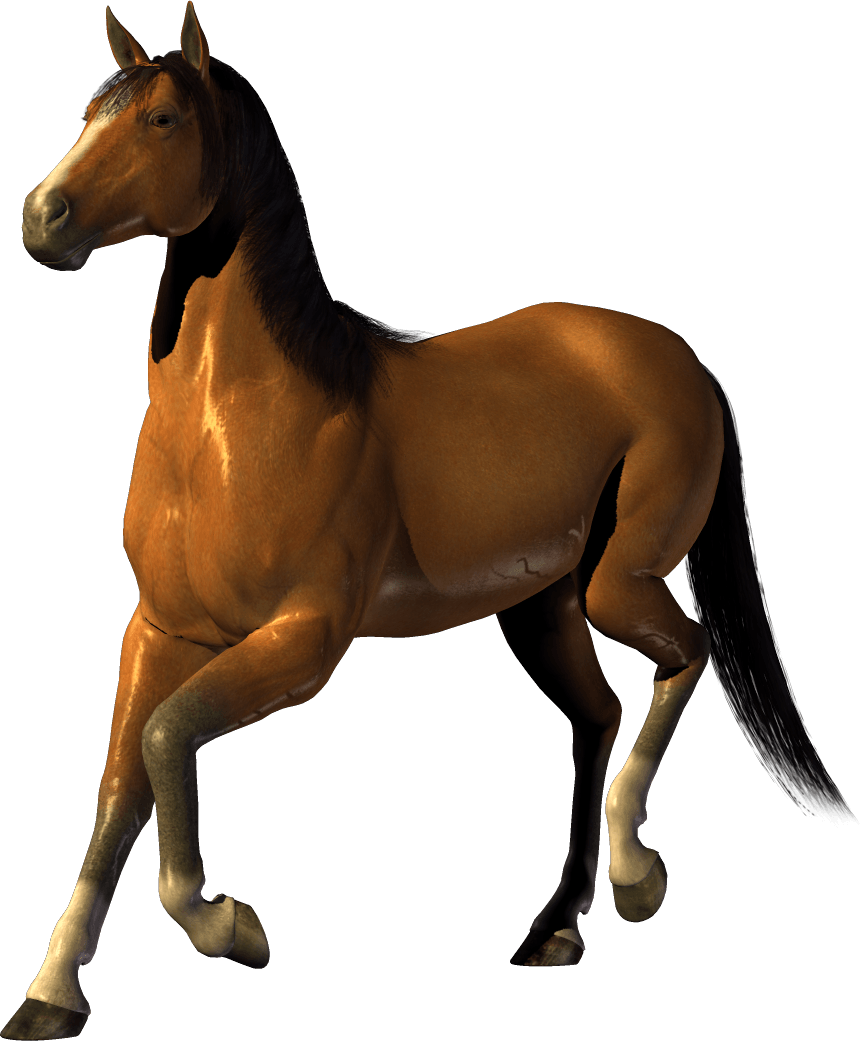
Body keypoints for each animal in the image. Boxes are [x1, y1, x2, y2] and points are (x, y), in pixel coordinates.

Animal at [10, 3, 857, 1037]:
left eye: (161, 119)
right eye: (90, 111)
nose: (41, 218)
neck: (235, 422)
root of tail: (679, 356)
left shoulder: (306, 639)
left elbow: (168, 738)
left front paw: (231, 926)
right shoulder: (159, 631)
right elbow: (119, 786)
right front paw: (51, 993)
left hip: (620, 583)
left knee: (682, 655)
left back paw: (635, 875)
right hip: (540, 606)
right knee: (596, 714)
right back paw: (556, 928)